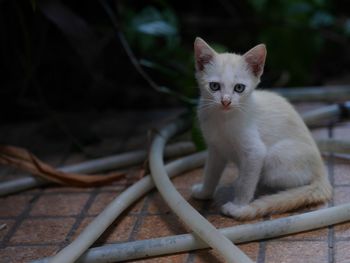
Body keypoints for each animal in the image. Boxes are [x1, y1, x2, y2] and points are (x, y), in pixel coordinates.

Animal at [191, 37, 330, 221]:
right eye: (214, 86)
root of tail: (322, 170)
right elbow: (210, 173)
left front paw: (239, 206)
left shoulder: (255, 152)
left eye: (239, 88)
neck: (222, 119)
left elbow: (246, 184)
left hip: (275, 158)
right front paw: (204, 192)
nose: (226, 101)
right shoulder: (215, 149)